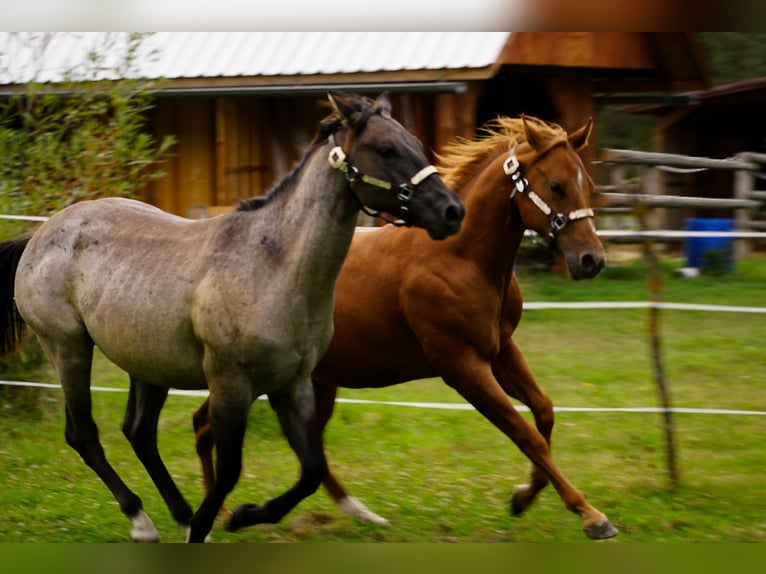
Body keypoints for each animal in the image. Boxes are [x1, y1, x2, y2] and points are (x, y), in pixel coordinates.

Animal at [0, 91, 465, 543]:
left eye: (414, 143)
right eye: (386, 149)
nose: (452, 211)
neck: (274, 266)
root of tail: (40, 233)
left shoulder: (293, 384)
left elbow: (311, 469)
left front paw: (243, 516)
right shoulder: (230, 384)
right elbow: (229, 472)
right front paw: (222, 522)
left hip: (147, 364)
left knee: (139, 432)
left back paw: (182, 516)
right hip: (69, 348)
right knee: (83, 433)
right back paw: (141, 520)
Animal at [192, 114, 619, 540]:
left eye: (588, 185)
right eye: (556, 186)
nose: (591, 260)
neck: (460, 257)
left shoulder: (501, 352)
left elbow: (544, 412)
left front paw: (523, 496)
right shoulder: (463, 367)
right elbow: (526, 434)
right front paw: (591, 515)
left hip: (313, 381)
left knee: (292, 447)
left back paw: (357, 514)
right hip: (258, 378)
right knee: (207, 426)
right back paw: (218, 517)